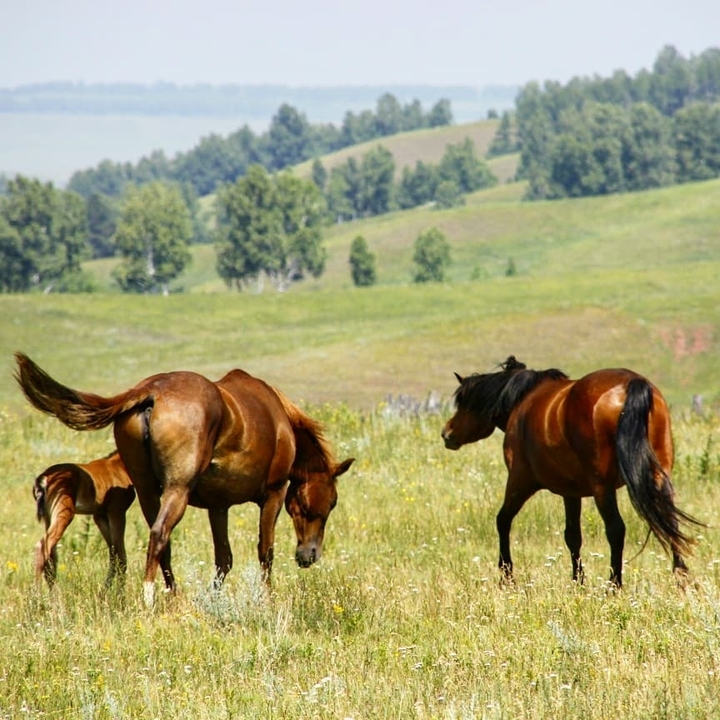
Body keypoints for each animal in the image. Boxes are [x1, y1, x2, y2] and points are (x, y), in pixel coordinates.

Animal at [32, 451, 135, 587]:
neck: (118, 466)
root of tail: (44, 478)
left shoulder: (100, 516)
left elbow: (113, 554)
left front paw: (105, 591)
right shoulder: (117, 512)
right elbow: (121, 555)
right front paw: (119, 593)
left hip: (48, 518)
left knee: (50, 558)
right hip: (64, 514)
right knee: (42, 548)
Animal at [441, 356, 704, 587]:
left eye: (463, 403)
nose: (447, 433)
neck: (523, 401)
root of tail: (632, 384)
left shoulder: (519, 481)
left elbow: (503, 521)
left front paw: (506, 577)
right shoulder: (571, 492)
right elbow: (573, 536)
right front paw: (578, 581)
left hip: (602, 488)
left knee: (616, 530)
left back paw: (614, 585)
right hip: (659, 477)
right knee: (670, 521)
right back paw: (682, 579)